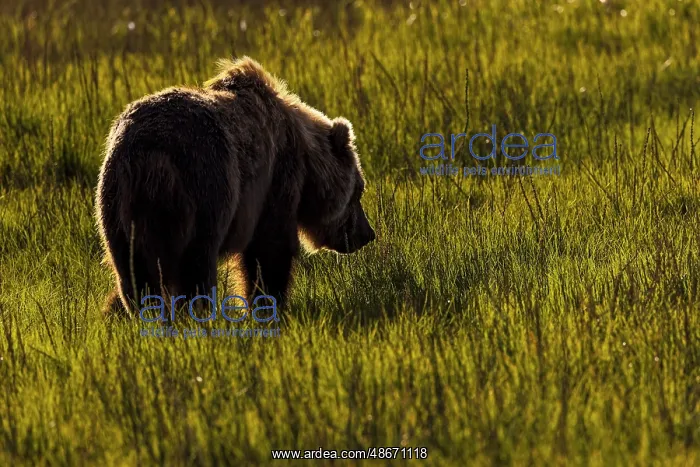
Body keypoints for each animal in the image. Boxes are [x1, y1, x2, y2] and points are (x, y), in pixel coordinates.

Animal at [95, 56, 375, 318]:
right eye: (359, 190)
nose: (368, 234)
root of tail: (151, 157)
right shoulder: (276, 179)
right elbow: (270, 249)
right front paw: (267, 306)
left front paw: (111, 309)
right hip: (206, 189)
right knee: (195, 265)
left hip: (116, 209)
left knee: (134, 273)